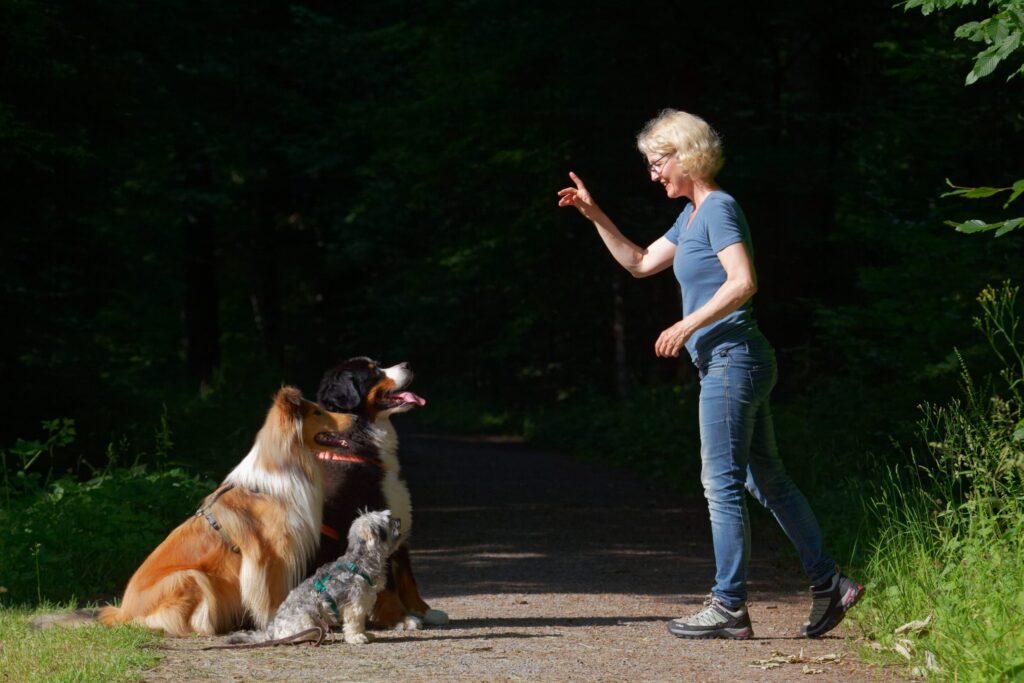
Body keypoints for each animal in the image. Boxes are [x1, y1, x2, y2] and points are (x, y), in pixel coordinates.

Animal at [226, 509, 397, 651]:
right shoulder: (355, 605)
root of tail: (271, 631)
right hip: (306, 621)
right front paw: (356, 637)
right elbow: (355, 624)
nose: (399, 519)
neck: (359, 563)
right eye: (388, 520)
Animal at [307, 358, 444, 630]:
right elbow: (389, 583)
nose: (408, 364)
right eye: (373, 373)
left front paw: (423, 611)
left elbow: (407, 578)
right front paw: (400, 618)